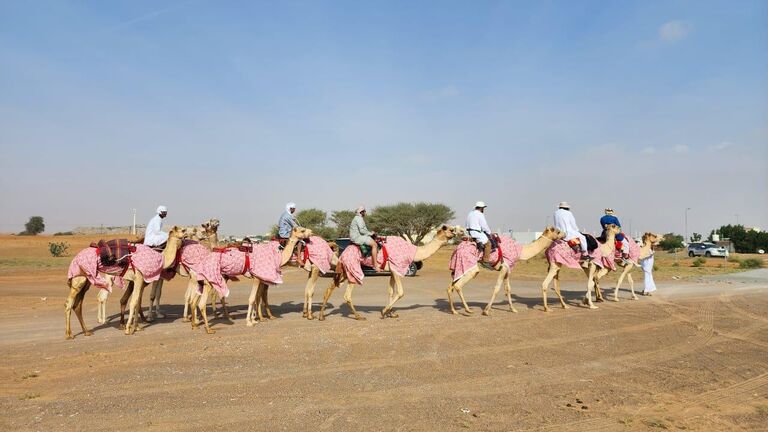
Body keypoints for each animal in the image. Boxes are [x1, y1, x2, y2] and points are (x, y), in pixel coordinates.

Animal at [318, 226, 462, 320]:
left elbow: (391, 291)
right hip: (353, 268)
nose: (461, 231)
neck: (413, 252)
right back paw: (358, 316)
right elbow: (400, 292)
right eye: (450, 229)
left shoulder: (392, 271)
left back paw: (321, 316)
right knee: (347, 295)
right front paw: (384, 311)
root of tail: (342, 252)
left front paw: (391, 313)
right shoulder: (397, 268)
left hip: (343, 270)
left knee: (329, 289)